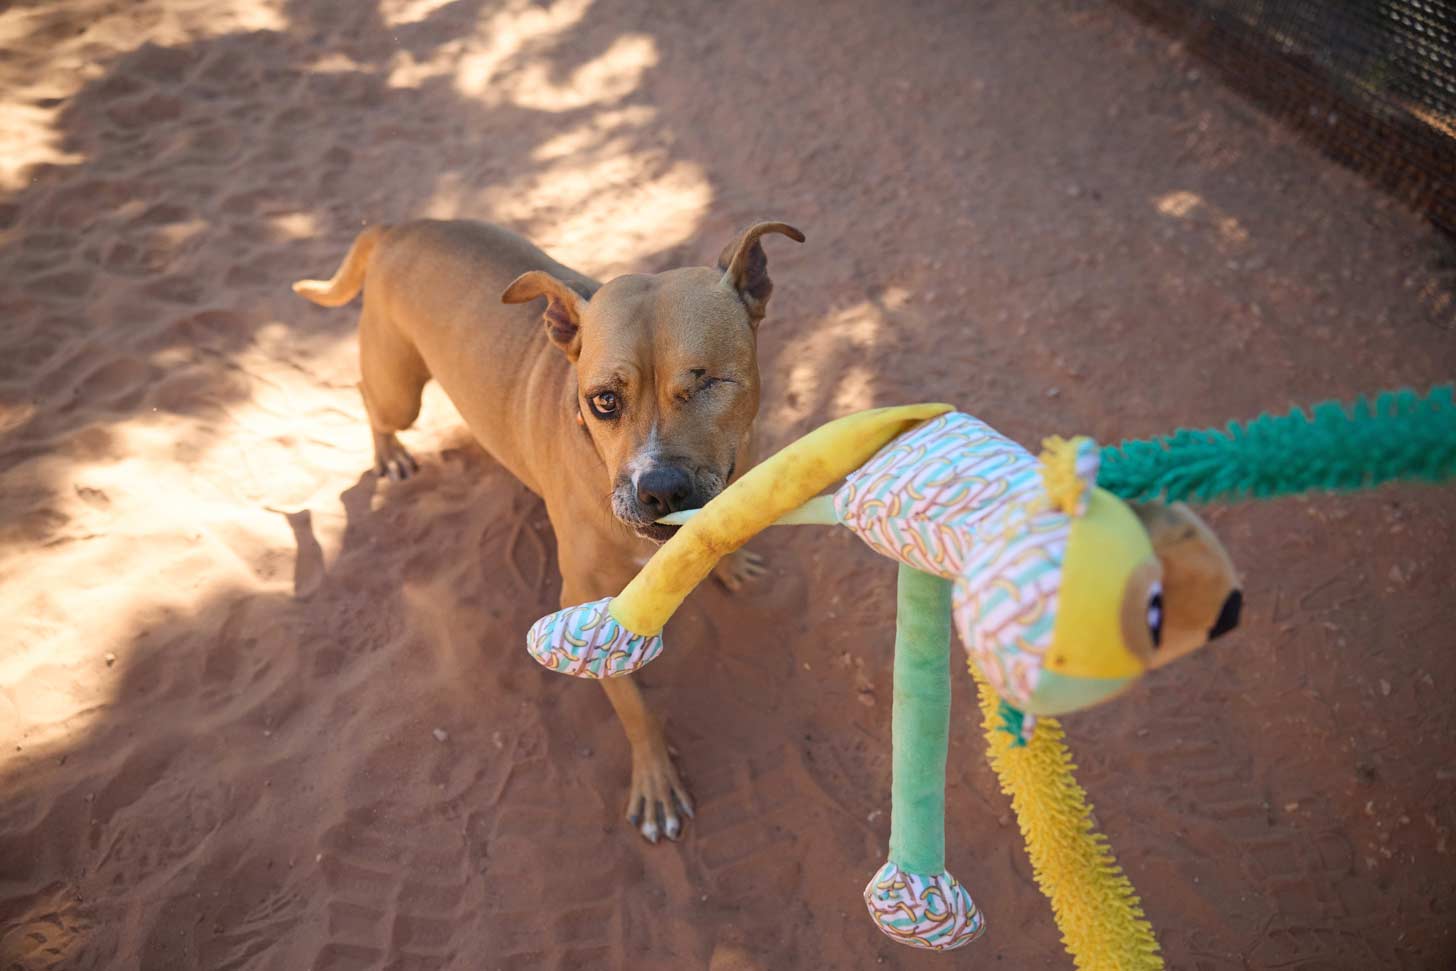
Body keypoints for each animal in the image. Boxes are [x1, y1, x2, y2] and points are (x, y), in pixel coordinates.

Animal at [289, 218, 803, 844]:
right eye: (604, 401)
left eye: (709, 384)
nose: (658, 490)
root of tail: (405, 225)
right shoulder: (589, 605)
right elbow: (636, 711)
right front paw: (655, 783)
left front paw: (733, 564)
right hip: (398, 392)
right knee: (369, 397)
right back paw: (387, 453)